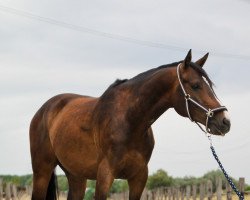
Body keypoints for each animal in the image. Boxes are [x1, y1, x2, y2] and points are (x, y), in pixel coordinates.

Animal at [29, 50, 230, 200]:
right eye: (196, 85)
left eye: (210, 86)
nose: (225, 121)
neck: (130, 121)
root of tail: (45, 109)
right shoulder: (105, 175)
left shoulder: (139, 177)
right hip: (42, 172)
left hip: (76, 176)